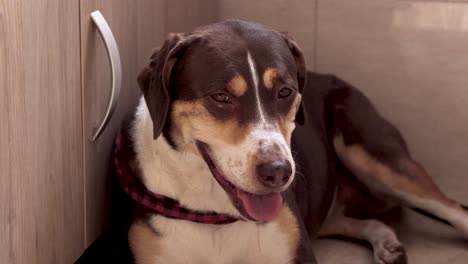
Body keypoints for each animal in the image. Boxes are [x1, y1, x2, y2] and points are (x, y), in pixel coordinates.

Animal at [116, 19, 468, 262]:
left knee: (455, 211)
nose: (278, 172)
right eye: (221, 96)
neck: (215, 218)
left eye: (285, 92)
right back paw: (387, 242)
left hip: (374, 158)